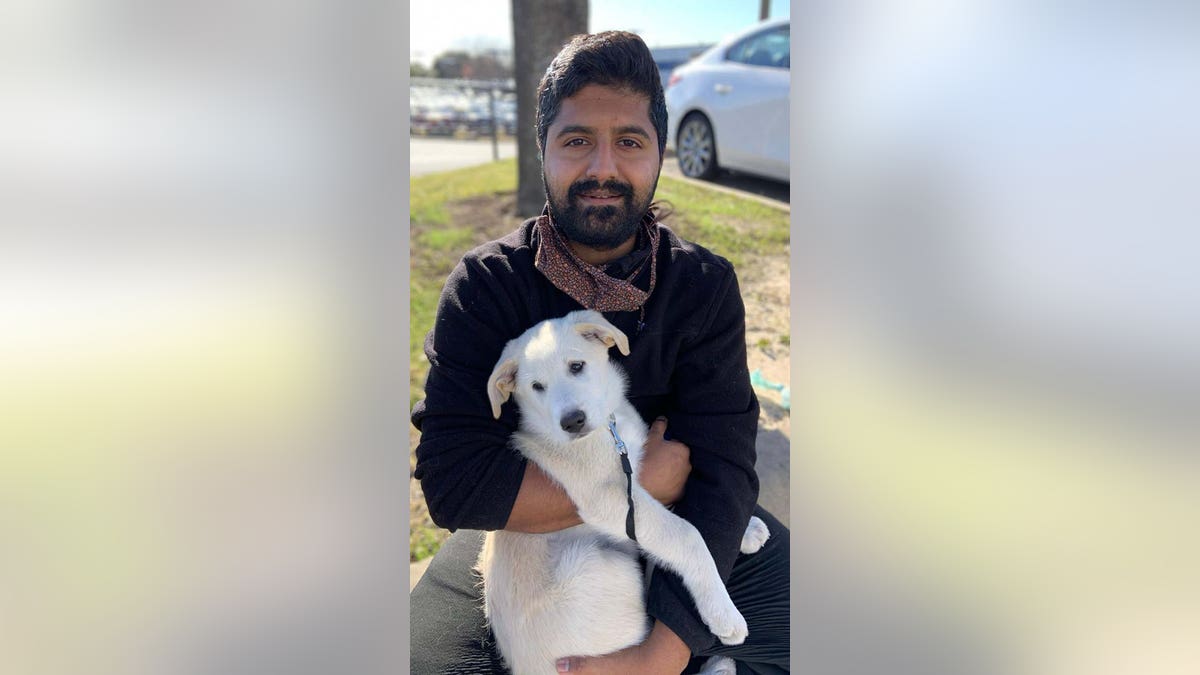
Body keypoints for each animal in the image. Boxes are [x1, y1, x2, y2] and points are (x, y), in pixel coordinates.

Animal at [477, 309, 768, 672]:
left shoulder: (636, 476)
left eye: (577, 366)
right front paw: (722, 612)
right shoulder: (607, 497)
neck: (609, 425)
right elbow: (684, 533)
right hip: (606, 570)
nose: (572, 422)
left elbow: (678, 508)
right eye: (537, 387)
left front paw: (747, 529)